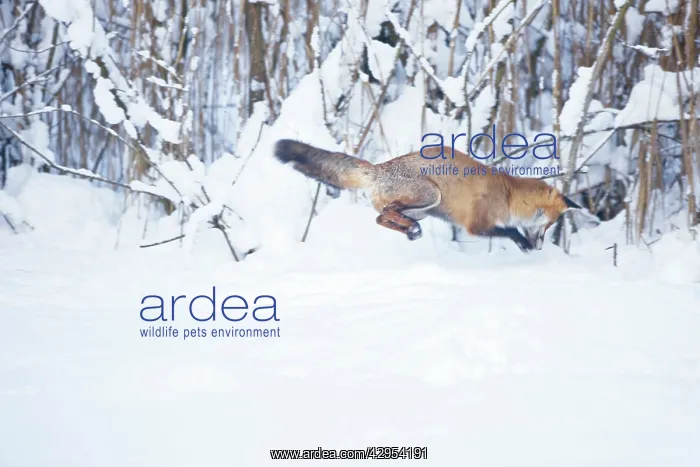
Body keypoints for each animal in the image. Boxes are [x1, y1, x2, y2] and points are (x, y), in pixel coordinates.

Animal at [273, 139, 598, 251]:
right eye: (551, 224)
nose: (541, 246)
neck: (509, 197)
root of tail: (378, 168)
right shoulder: (476, 225)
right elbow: (507, 231)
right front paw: (522, 243)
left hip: (425, 208)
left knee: (381, 218)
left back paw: (409, 231)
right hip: (431, 195)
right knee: (385, 213)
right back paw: (410, 229)